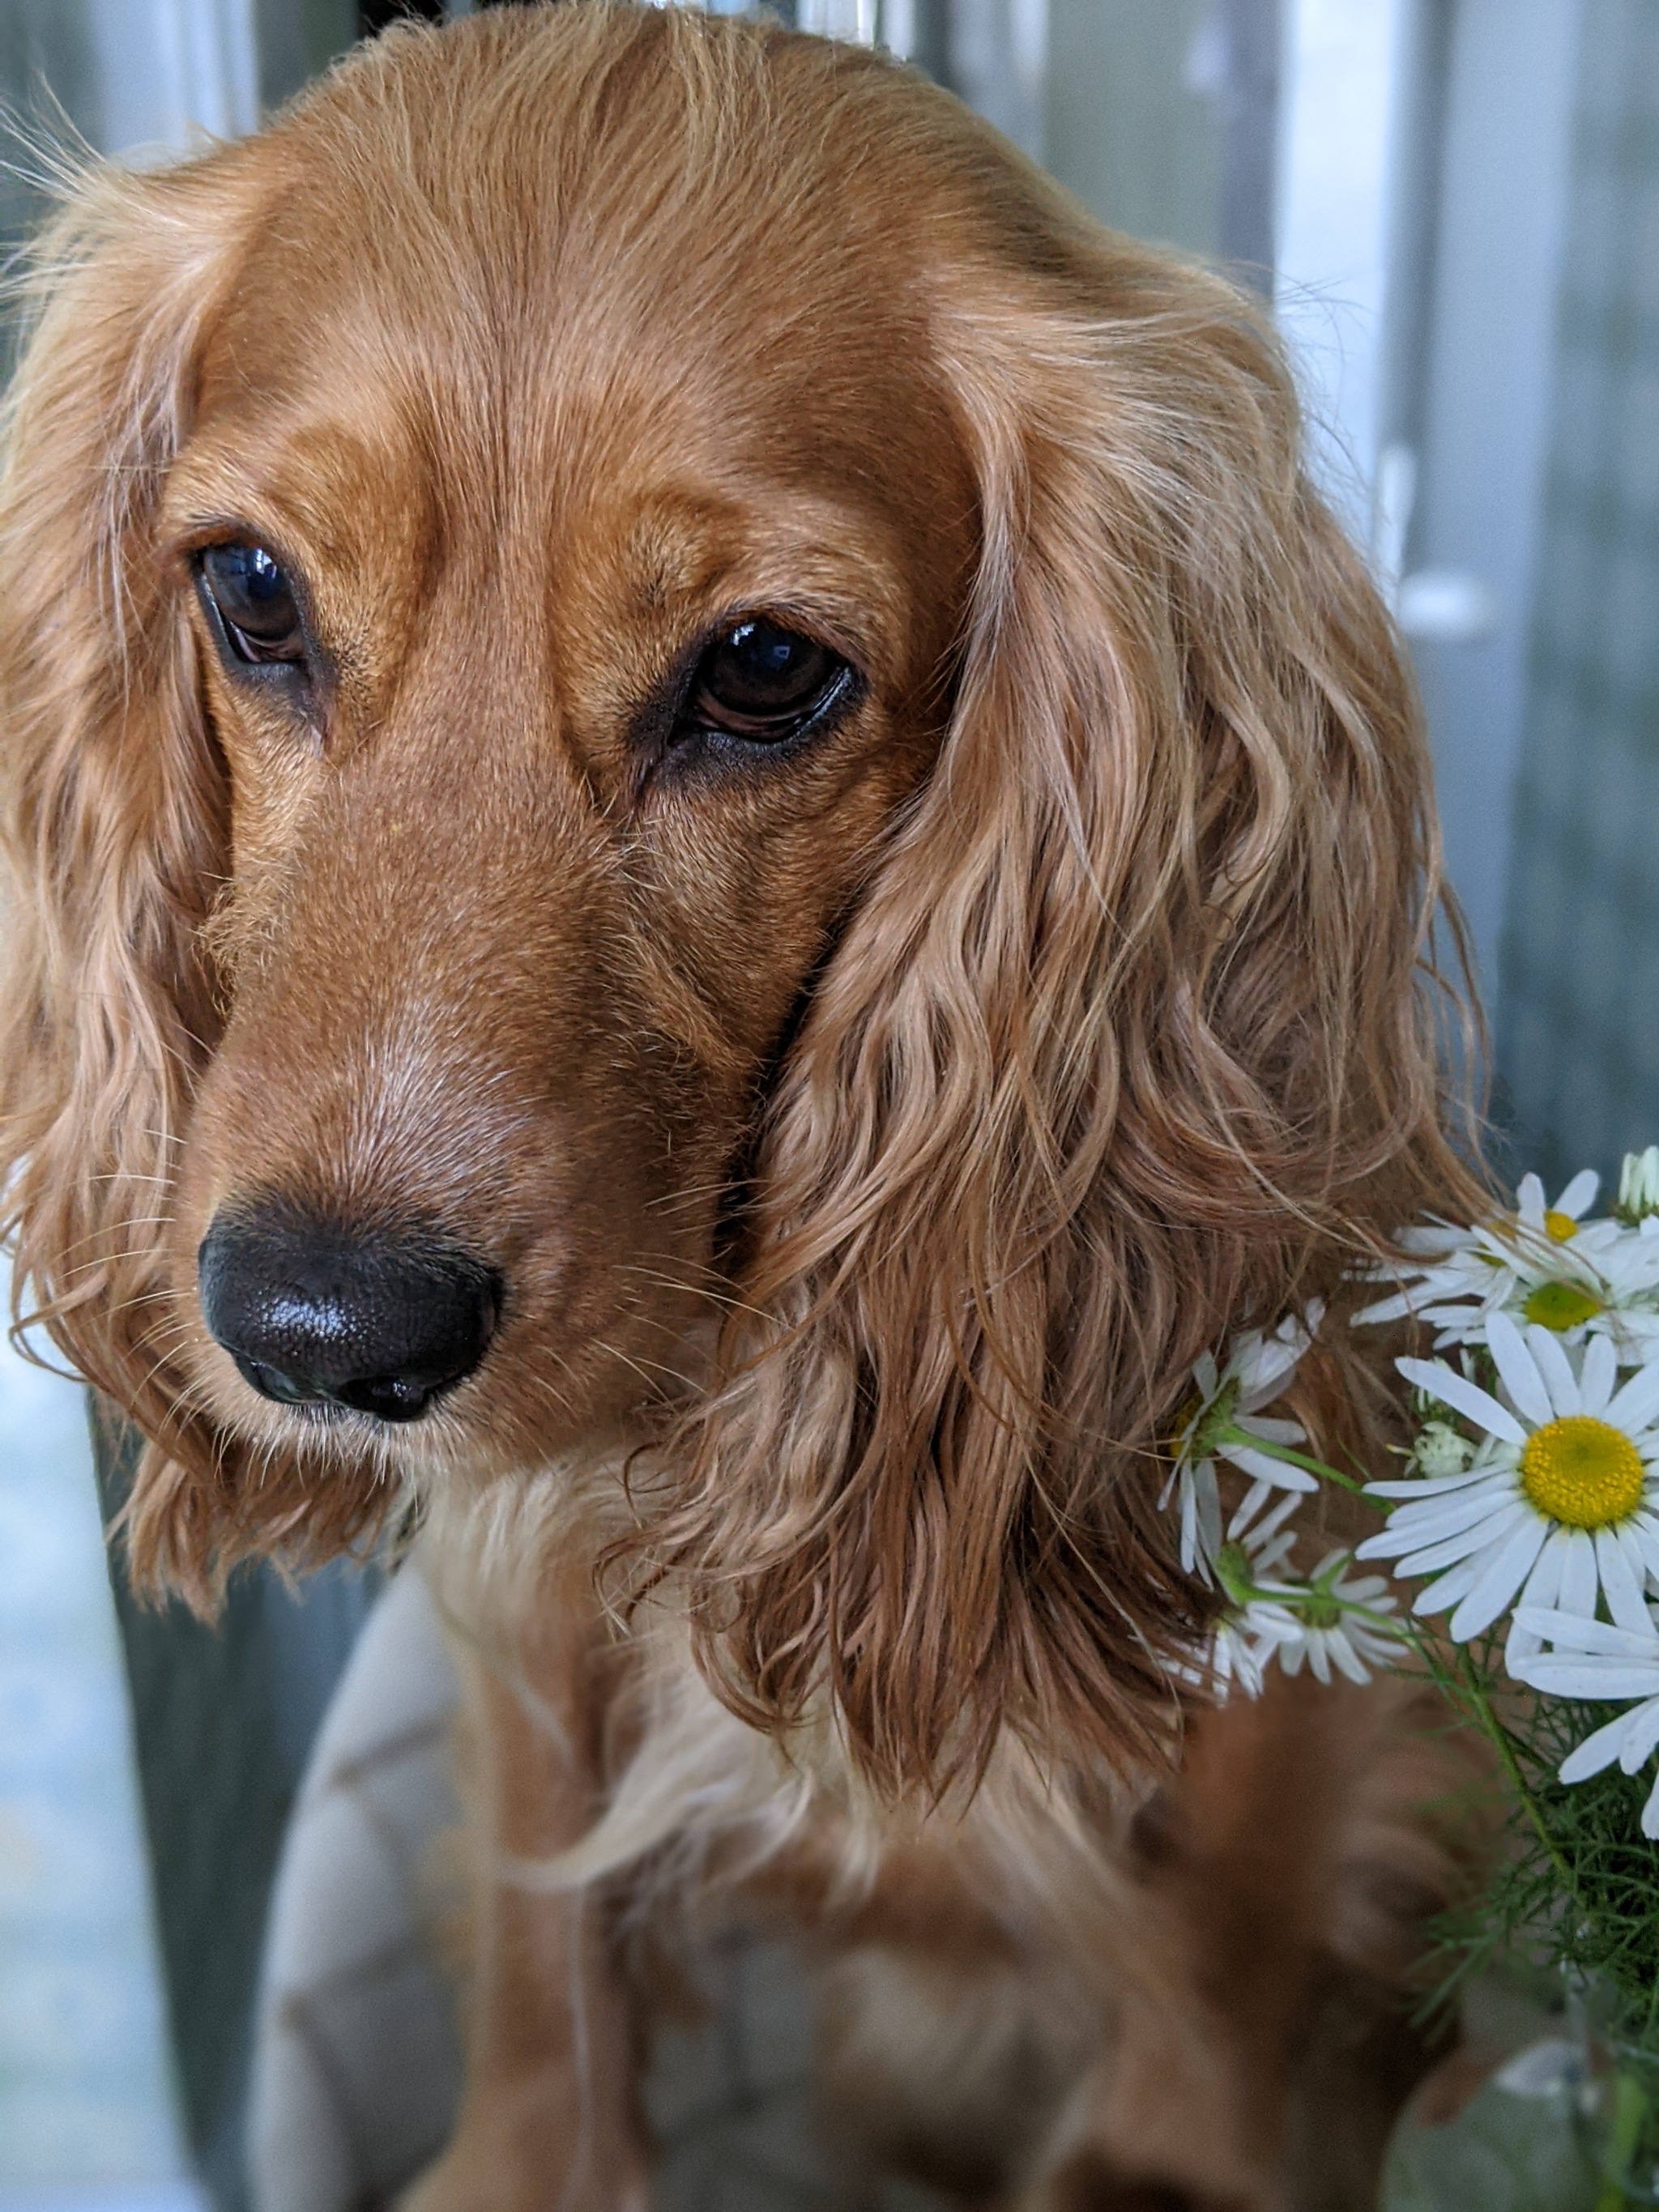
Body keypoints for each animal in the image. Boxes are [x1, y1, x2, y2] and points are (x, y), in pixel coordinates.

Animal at [0, 8, 1495, 2203]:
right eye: (253, 594)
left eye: (766, 671)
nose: (318, 1331)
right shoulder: (524, 1611)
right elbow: (548, 1954)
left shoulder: (1319, 1638)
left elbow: (1221, 1960)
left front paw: (1165, 2158)